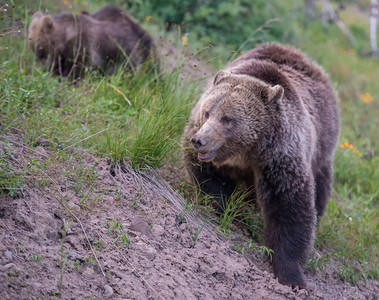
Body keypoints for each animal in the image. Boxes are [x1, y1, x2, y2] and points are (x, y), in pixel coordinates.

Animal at [183, 42, 340, 288]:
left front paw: (291, 275)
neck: (248, 149)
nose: (200, 140)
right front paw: (233, 214)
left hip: (323, 145)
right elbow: (211, 181)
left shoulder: (279, 156)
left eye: (227, 119)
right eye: (207, 111)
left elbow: (289, 204)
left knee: (321, 185)